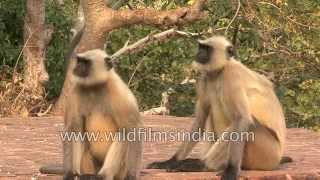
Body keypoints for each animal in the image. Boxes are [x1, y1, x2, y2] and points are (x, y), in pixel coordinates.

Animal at [148, 35, 290, 179]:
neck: (219, 71)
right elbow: (200, 119)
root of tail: (277, 160)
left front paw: (231, 171)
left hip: (268, 155)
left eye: (207, 49)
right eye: (201, 47)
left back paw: (203, 166)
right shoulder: (204, 79)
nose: (199, 53)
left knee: (250, 125)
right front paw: (170, 161)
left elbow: (241, 119)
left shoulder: (231, 75)